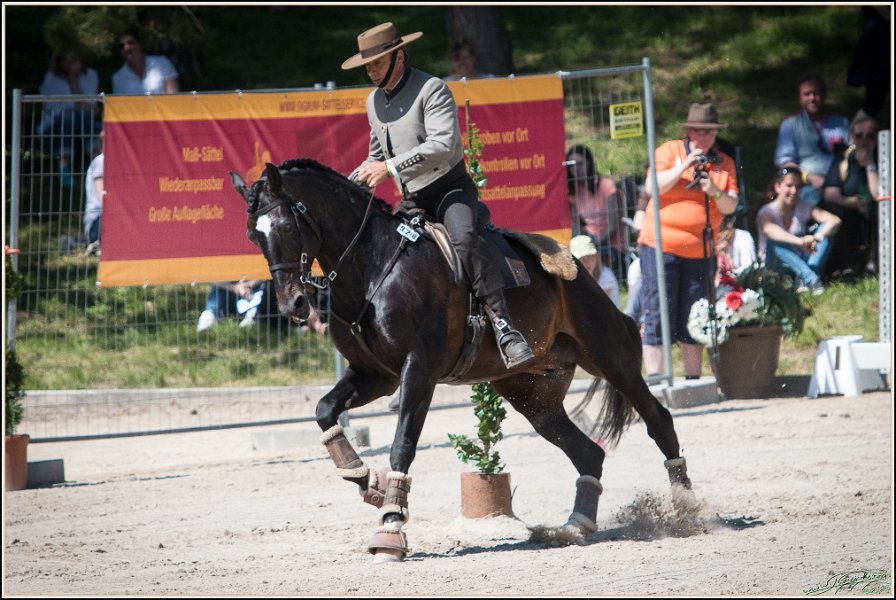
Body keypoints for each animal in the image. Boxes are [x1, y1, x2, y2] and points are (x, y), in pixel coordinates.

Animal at [229, 159, 694, 562]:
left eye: (286, 226)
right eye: (253, 235)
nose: (293, 305)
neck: (372, 267)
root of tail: (580, 271)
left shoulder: (419, 370)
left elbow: (402, 443)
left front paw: (391, 526)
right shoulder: (374, 376)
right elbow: (325, 411)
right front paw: (368, 483)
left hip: (609, 356)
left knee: (657, 419)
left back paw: (687, 507)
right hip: (533, 397)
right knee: (587, 452)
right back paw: (575, 525)